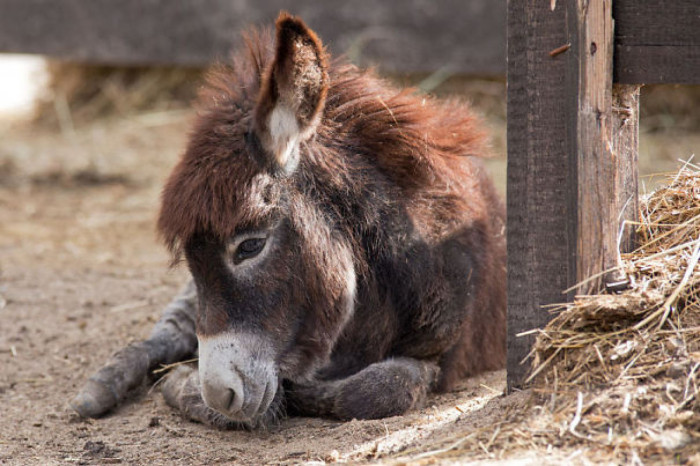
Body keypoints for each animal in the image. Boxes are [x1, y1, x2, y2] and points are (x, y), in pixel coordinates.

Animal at [72, 13, 504, 430]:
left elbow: (376, 390)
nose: (219, 395)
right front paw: (185, 385)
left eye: (250, 246)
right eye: (191, 258)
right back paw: (100, 389)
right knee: (170, 330)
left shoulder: (441, 354)